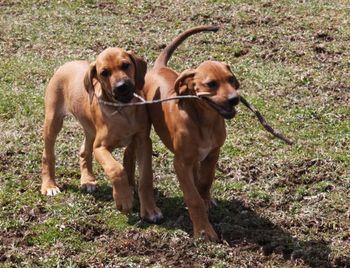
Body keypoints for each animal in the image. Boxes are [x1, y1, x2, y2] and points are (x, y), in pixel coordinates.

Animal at [40, 47, 163, 222]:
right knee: (48, 154)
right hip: (53, 120)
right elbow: (116, 169)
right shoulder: (101, 148)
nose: (122, 87)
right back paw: (49, 185)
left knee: (84, 150)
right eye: (104, 73)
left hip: (89, 127)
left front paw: (150, 210)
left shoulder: (143, 141)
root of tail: (67, 64)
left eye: (125, 65)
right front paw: (124, 199)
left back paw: (88, 180)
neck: (123, 110)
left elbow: (146, 178)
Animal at [144, 26, 239, 241]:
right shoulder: (181, 163)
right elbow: (193, 197)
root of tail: (159, 67)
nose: (235, 99)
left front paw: (206, 200)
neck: (204, 121)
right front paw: (203, 230)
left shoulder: (213, 153)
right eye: (211, 84)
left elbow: (205, 180)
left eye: (231, 79)